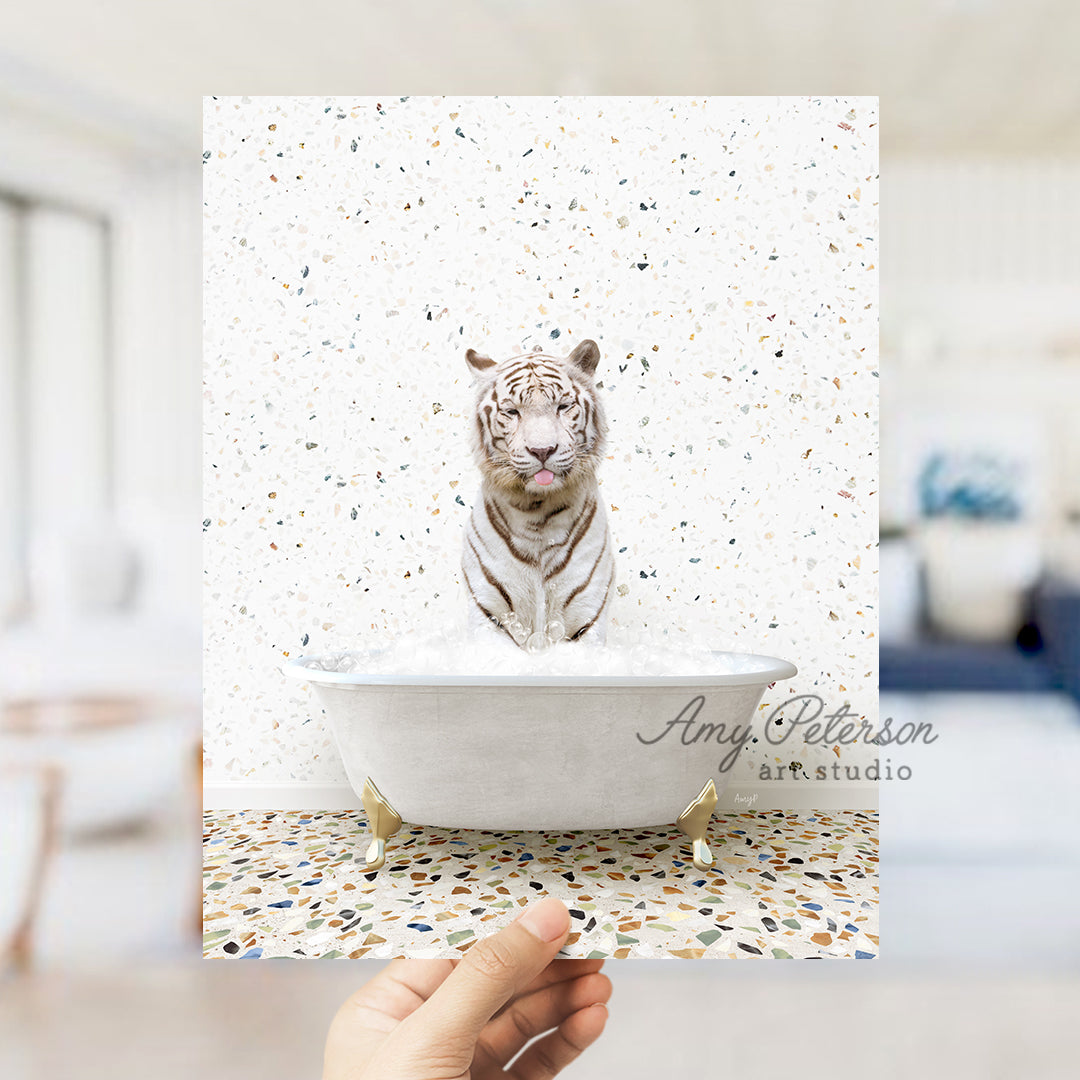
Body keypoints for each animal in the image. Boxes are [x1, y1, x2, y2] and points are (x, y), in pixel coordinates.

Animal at [462, 336, 617, 643]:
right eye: (512, 411)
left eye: (563, 406)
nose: (542, 450)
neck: (537, 511)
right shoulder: (489, 612)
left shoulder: (586, 617)